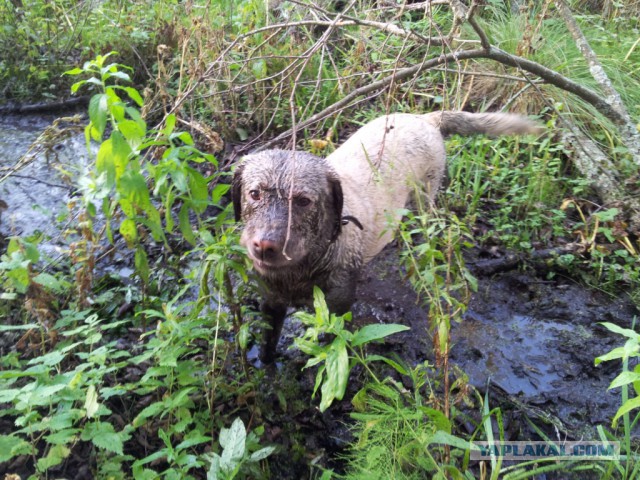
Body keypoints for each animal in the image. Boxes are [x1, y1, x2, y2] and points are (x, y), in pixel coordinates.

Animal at [230, 110, 540, 362]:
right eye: (254, 194)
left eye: (304, 201)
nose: (265, 245)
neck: (304, 269)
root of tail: (425, 118)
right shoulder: (271, 303)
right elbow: (268, 345)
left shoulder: (338, 309)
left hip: (424, 201)